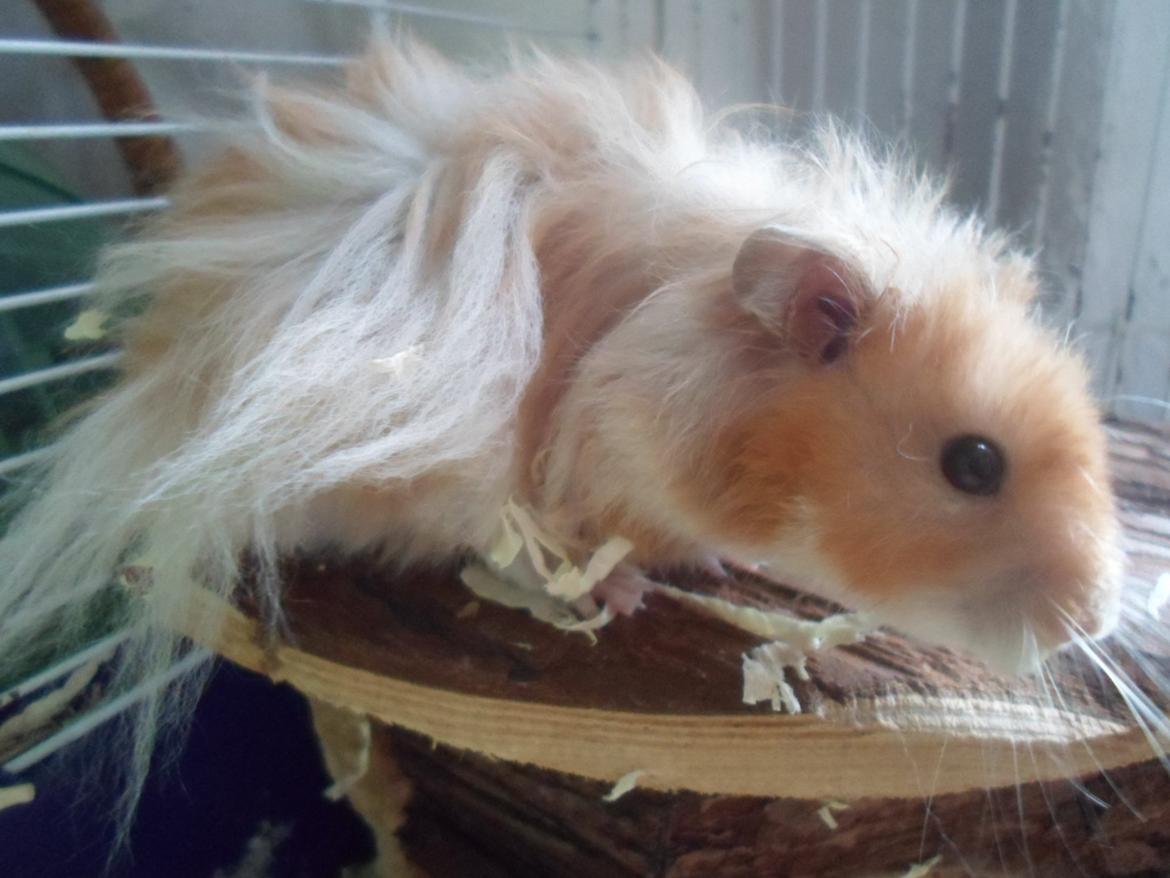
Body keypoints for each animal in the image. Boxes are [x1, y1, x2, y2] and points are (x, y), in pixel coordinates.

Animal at [0, 37, 1122, 765]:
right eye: (973, 462)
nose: (1097, 616)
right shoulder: (554, 479)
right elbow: (557, 550)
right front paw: (624, 594)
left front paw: (724, 563)